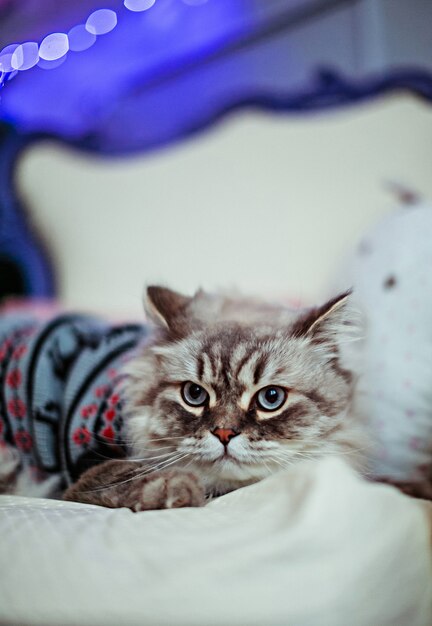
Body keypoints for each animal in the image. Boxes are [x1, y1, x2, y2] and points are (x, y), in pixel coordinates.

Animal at [61, 286, 364, 510]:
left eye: (271, 397)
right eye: (194, 394)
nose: (224, 433)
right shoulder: (82, 479)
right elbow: (129, 473)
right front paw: (178, 489)